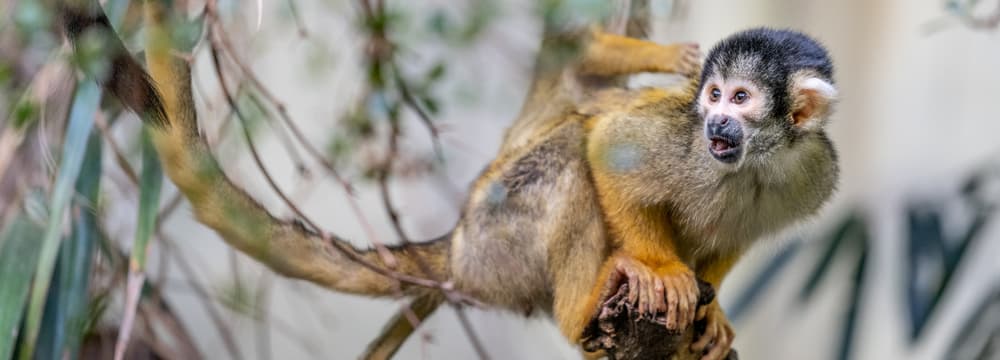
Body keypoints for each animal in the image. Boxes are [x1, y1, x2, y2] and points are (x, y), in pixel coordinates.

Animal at [56, 0, 836, 358]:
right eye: (716, 96)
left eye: (743, 99)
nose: (717, 124)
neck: (752, 159)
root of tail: (458, 248)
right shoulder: (678, 133)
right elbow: (607, 145)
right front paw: (662, 272)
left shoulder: (813, 171)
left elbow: (737, 238)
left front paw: (713, 311)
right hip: (498, 242)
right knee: (568, 152)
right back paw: (585, 303)